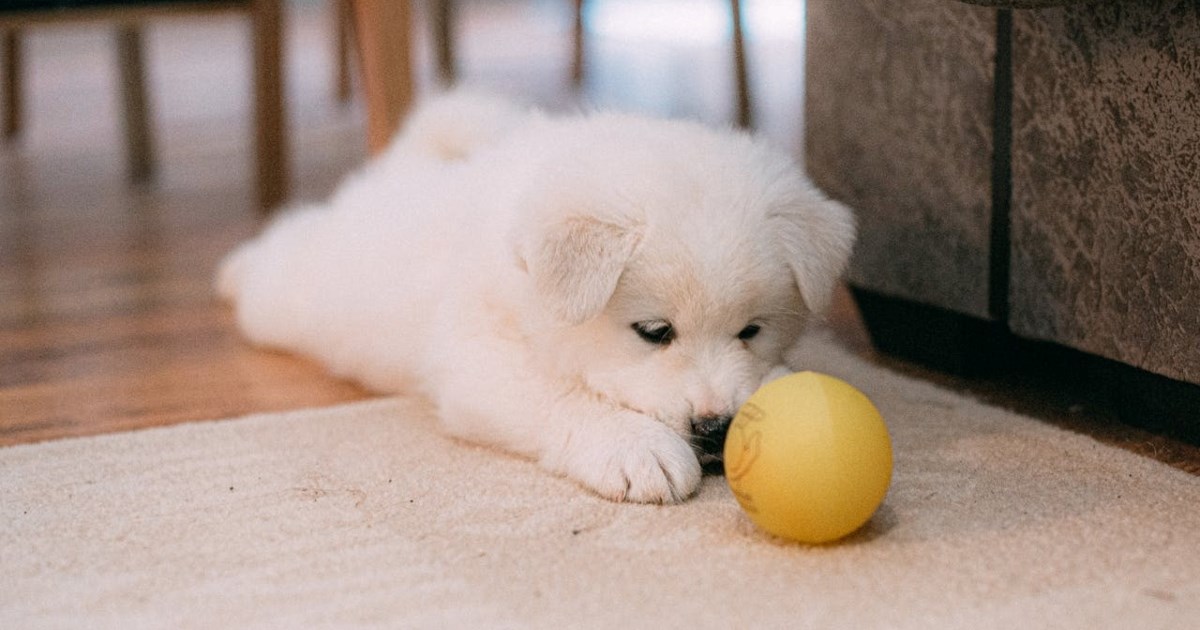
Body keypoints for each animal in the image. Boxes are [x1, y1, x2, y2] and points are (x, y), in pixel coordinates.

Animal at [216, 93, 854, 504]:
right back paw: (233, 270)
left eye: (751, 330)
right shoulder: (479, 360)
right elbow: (559, 396)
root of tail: (399, 170)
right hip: (296, 295)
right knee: (280, 248)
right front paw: (638, 448)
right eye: (654, 332)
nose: (717, 427)